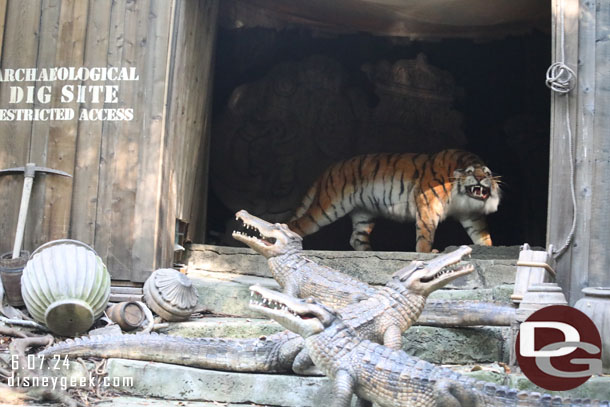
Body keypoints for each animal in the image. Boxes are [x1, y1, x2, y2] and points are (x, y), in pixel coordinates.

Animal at [288, 149, 498, 252]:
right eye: (471, 173)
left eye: (487, 174)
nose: (481, 179)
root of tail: (328, 169)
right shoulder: (428, 206)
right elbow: (425, 234)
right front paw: (426, 254)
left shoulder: (472, 215)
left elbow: (482, 235)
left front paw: (488, 248)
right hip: (329, 207)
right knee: (296, 225)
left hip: (364, 214)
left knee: (357, 237)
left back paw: (369, 252)